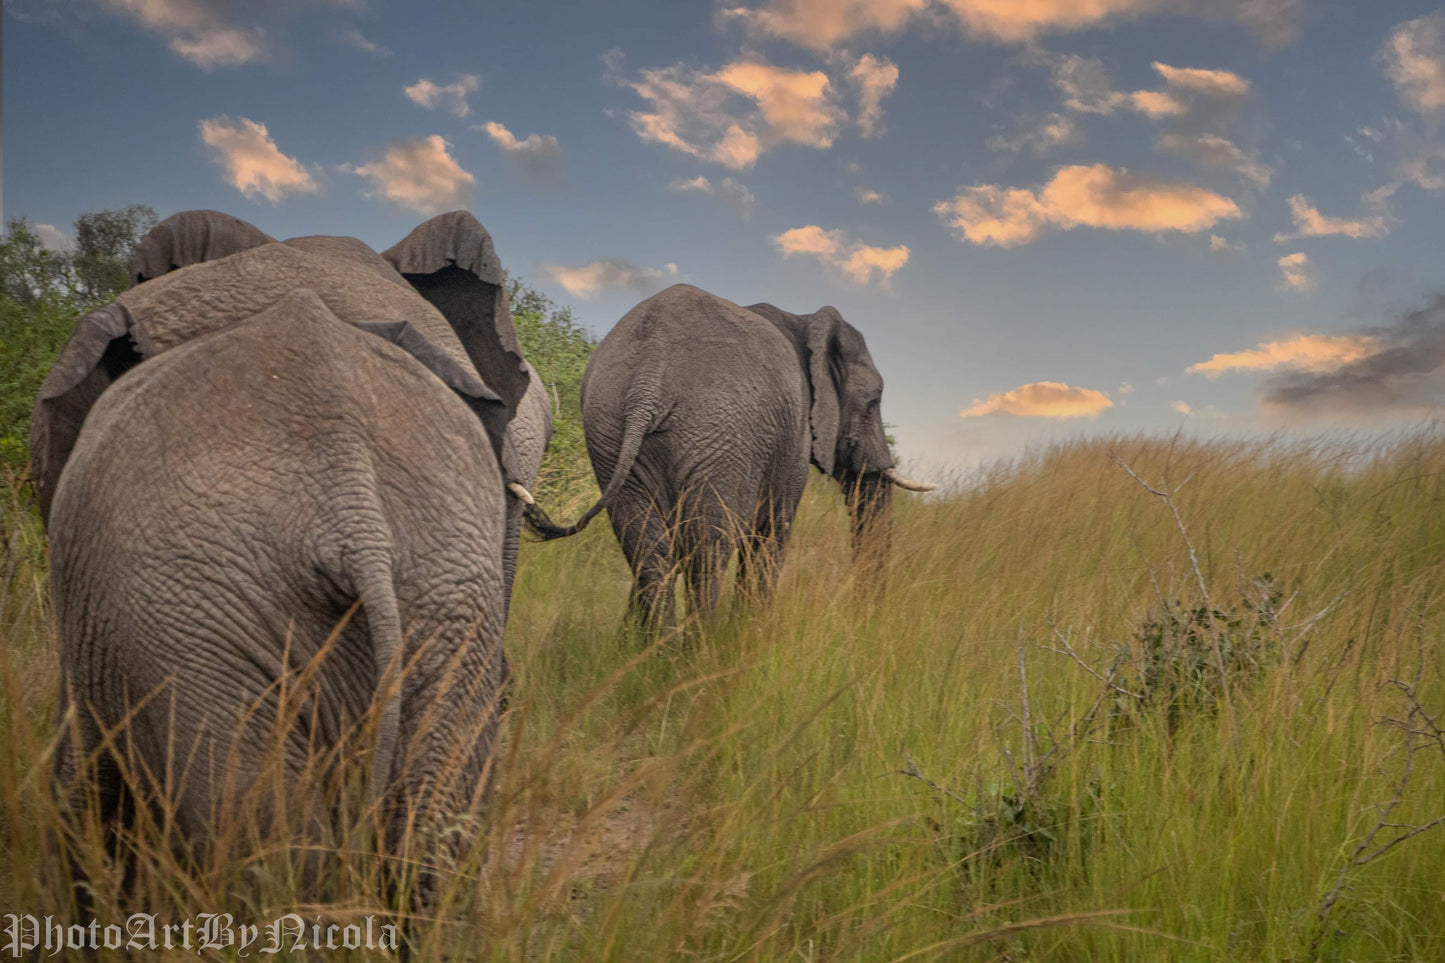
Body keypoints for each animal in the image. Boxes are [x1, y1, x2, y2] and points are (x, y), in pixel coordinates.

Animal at [526, 283, 932, 630]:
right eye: (873, 402)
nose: (862, 621)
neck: (804, 321)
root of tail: (649, 373)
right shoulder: (794, 436)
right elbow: (771, 533)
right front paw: (750, 640)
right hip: (720, 430)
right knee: (707, 550)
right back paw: (699, 656)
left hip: (610, 430)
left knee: (648, 548)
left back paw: (660, 655)